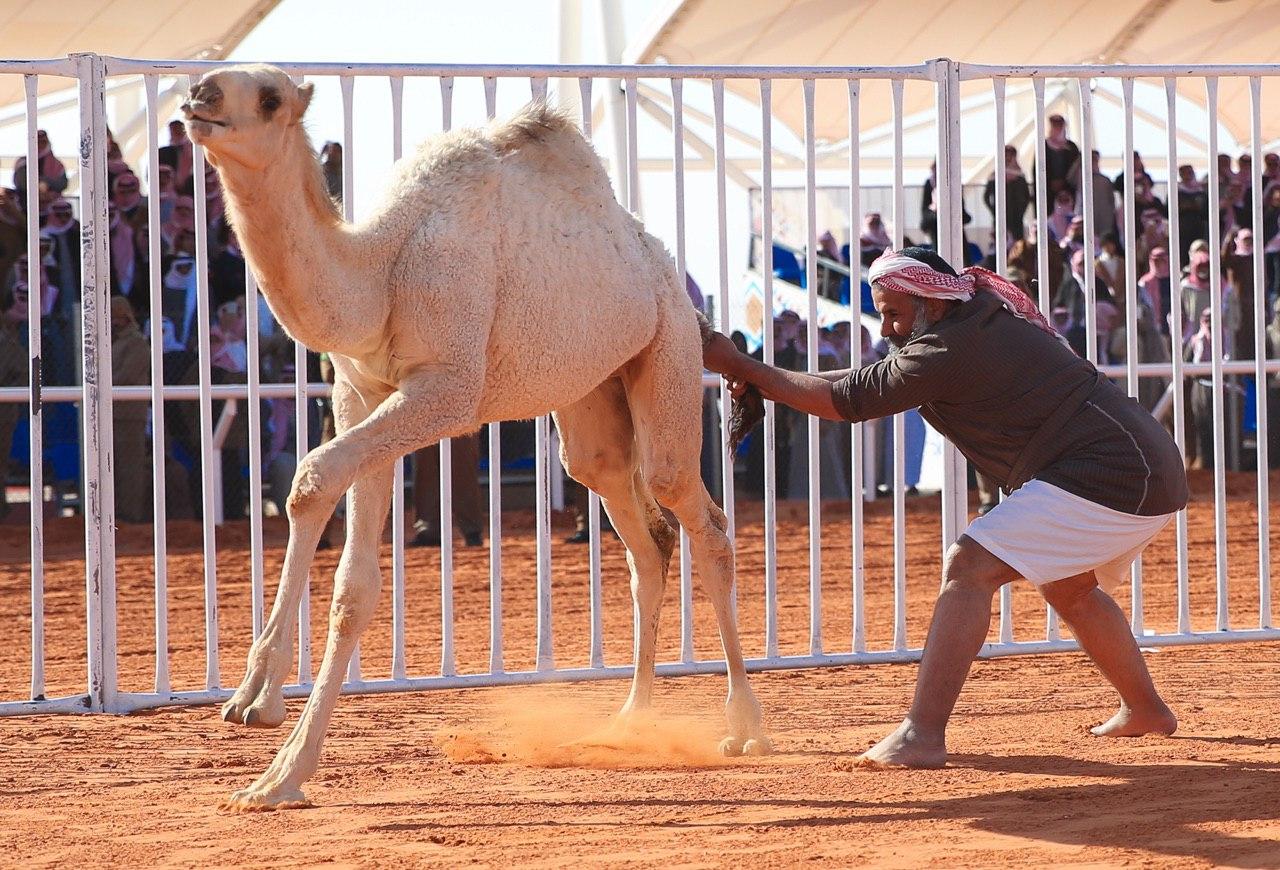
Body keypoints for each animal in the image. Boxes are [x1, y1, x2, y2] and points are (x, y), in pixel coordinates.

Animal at [183, 64, 768, 813]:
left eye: (268, 98)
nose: (198, 99)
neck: (382, 270)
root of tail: (673, 279)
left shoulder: (447, 388)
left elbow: (314, 475)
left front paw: (276, 762)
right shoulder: (360, 392)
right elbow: (346, 566)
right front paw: (261, 717)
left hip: (667, 353)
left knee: (701, 516)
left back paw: (743, 726)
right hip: (590, 404)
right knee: (640, 531)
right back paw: (630, 719)